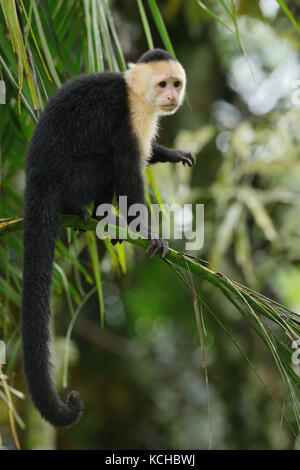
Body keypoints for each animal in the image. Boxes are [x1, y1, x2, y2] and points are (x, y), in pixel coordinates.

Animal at [21, 49, 195, 428]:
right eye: (163, 84)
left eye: (176, 84)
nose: (172, 97)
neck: (134, 90)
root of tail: (38, 178)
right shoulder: (130, 114)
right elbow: (129, 166)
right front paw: (146, 231)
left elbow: (144, 155)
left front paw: (169, 153)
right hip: (72, 177)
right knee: (106, 164)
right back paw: (94, 213)